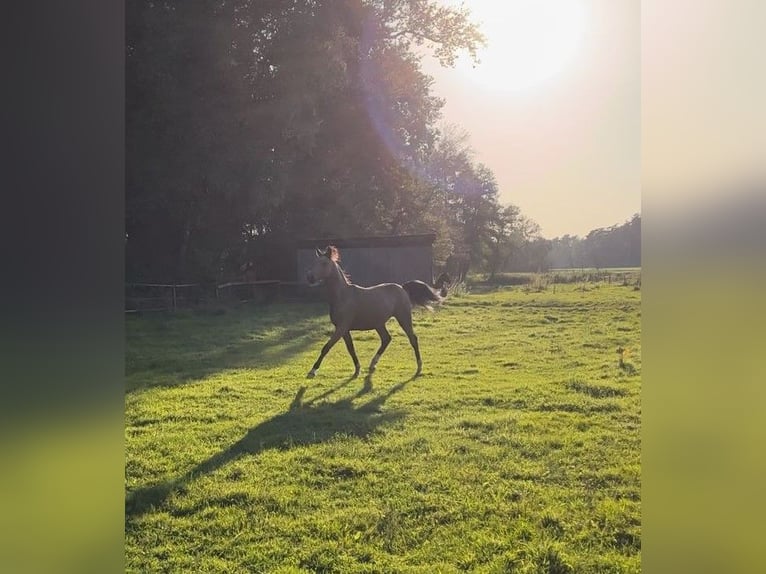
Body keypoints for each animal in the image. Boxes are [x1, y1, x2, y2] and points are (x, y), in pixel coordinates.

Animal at [306, 245, 448, 380]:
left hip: (403, 318)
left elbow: (326, 347)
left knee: (412, 338)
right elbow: (351, 349)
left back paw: (419, 367)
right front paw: (357, 369)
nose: (310, 278)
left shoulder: (341, 328)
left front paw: (312, 371)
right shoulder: (344, 330)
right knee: (386, 339)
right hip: (379, 324)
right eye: (314, 262)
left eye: (324, 263)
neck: (343, 296)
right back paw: (372, 364)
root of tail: (402, 288)